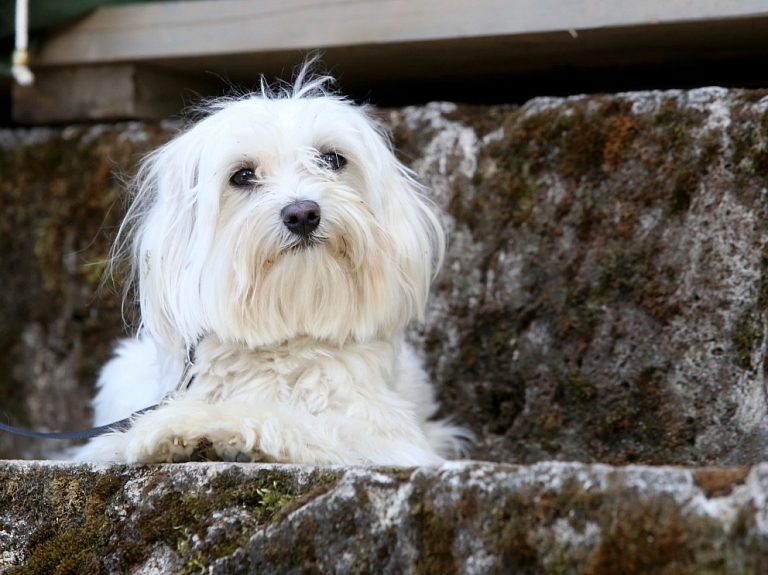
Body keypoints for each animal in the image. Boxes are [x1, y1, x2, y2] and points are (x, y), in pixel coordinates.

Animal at [72, 65, 468, 466]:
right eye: (243, 175)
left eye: (332, 159)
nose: (303, 213)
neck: (286, 340)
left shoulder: (389, 437)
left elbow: (306, 423)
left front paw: (203, 423)